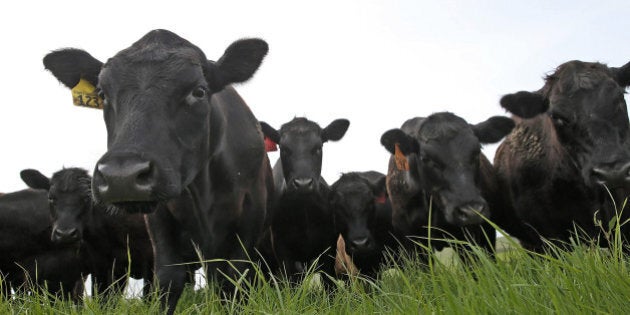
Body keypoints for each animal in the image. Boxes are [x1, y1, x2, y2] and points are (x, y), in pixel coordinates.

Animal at [44, 29, 272, 314]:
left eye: (199, 91)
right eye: (102, 93)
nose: (121, 177)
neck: (204, 195)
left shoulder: (249, 220)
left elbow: (234, 281)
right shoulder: (159, 223)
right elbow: (167, 280)